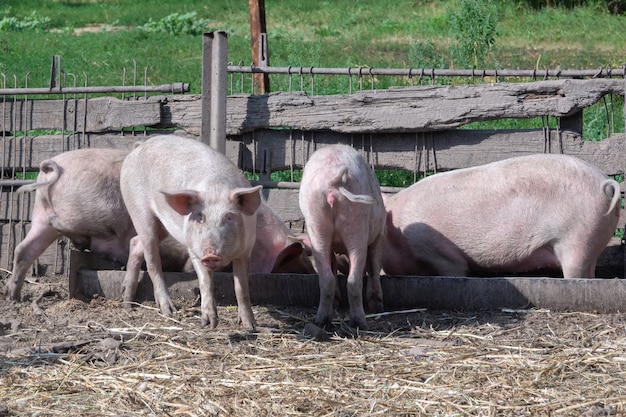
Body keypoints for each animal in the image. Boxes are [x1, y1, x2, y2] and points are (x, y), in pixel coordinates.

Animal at [119, 135, 260, 330]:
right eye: (200, 217)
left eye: (229, 217)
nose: (210, 254)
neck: (216, 188)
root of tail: (139, 146)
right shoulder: (194, 249)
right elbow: (205, 281)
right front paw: (208, 324)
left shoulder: (247, 249)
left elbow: (242, 287)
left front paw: (250, 326)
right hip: (139, 212)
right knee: (153, 261)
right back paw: (169, 311)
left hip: (163, 226)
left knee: (135, 242)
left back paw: (126, 302)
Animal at [298, 145, 386, 330]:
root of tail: (333, 182)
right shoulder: (380, 234)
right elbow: (374, 266)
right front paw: (378, 307)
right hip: (357, 223)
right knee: (354, 280)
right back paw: (360, 323)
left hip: (316, 225)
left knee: (327, 279)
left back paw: (322, 321)